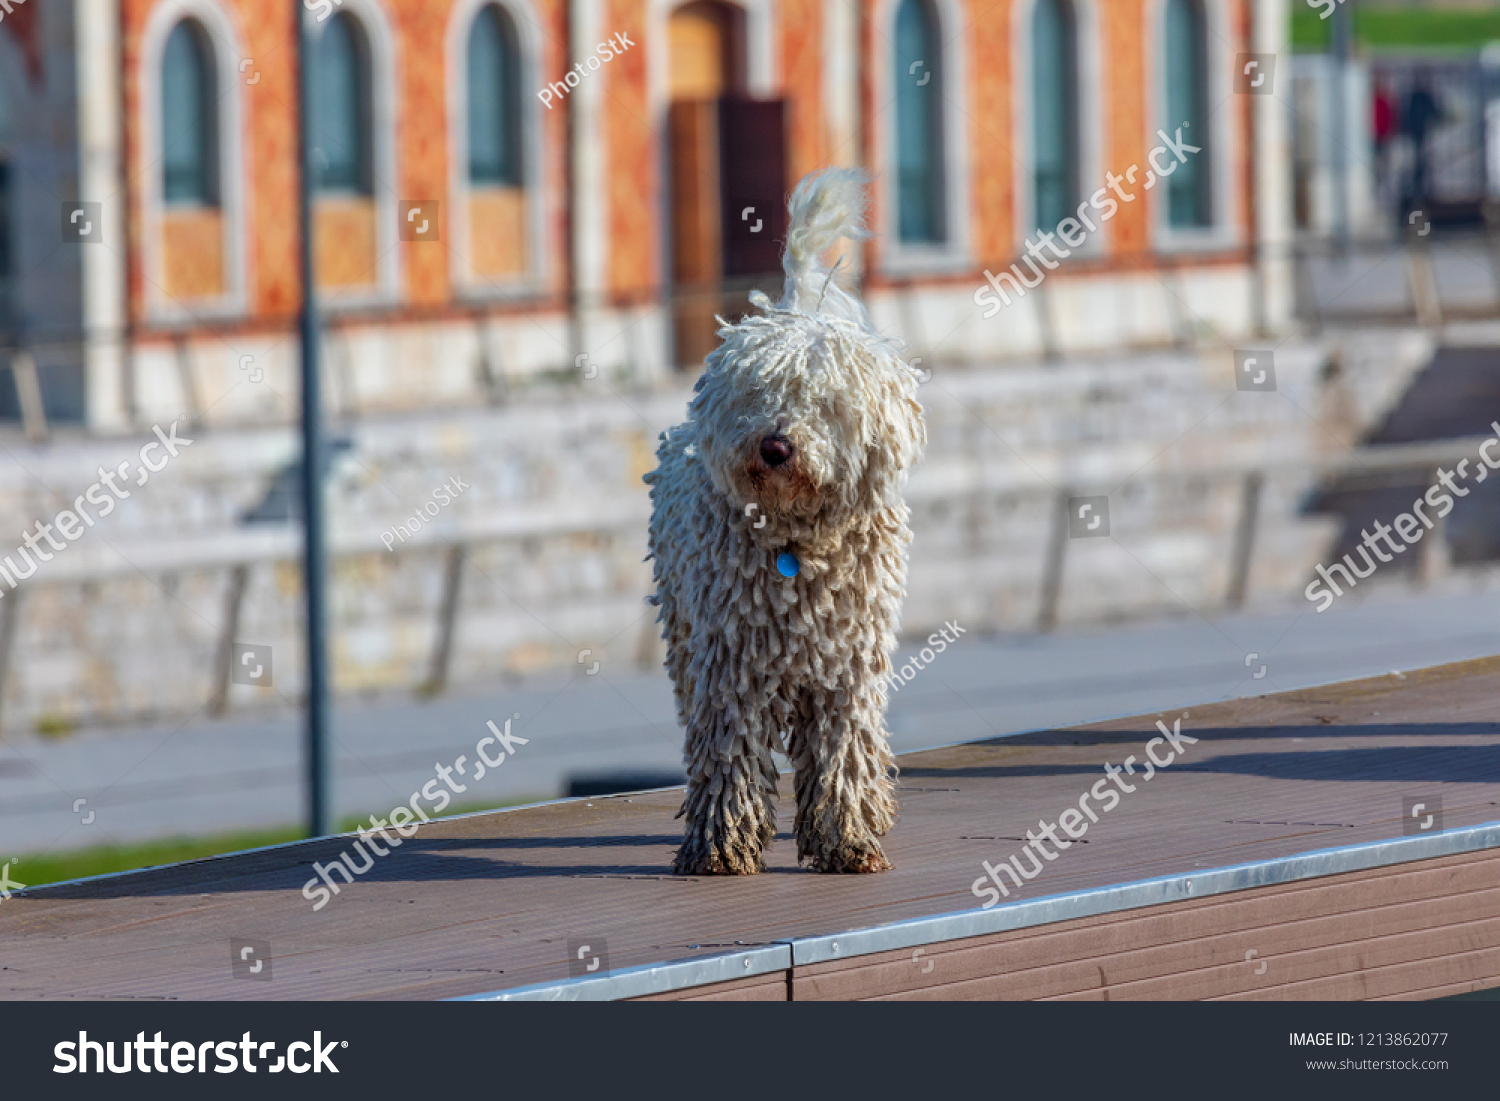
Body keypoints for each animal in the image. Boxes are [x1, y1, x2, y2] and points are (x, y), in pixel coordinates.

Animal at [645, 170, 924, 882]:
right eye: (755, 392)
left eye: (823, 401)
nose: (775, 445)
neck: (797, 542)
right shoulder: (728, 662)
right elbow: (729, 754)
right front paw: (720, 847)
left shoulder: (847, 666)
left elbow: (843, 752)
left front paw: (848, 840)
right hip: (683, 634)